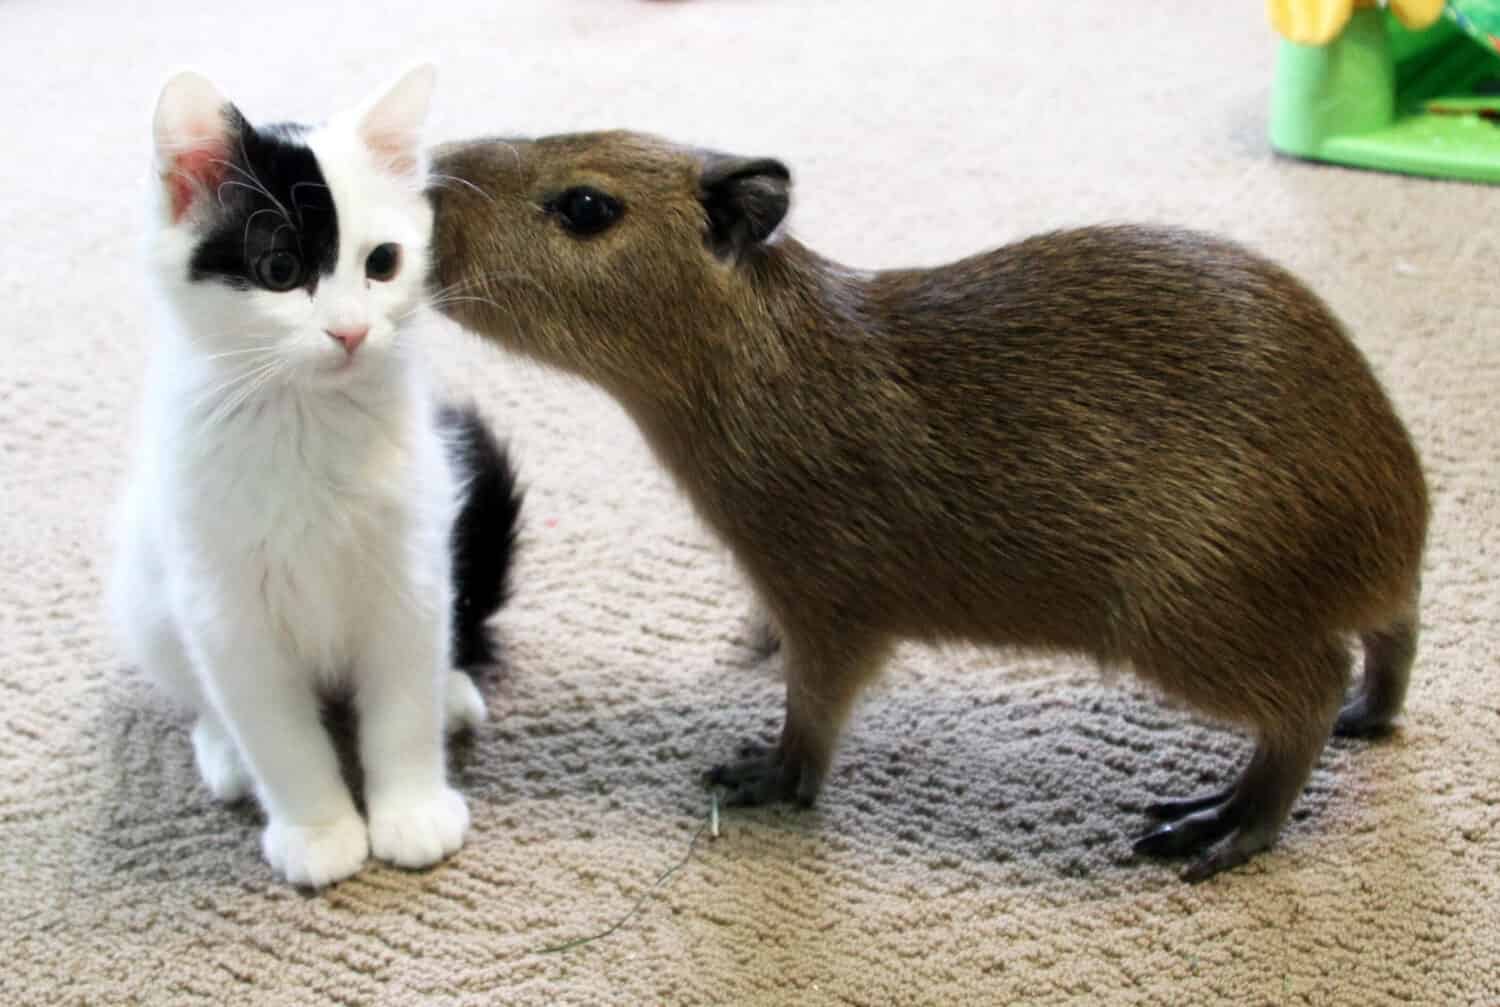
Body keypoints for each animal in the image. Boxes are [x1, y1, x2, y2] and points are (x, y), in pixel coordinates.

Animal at [109, 66, 522, 888]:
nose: (351, 330)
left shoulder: (407, 574)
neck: (306, 422)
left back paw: (452, 691)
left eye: (383, 263)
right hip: (148, 596)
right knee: (204, 693)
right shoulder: (227, 609)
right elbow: (279, 734)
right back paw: (223, 750)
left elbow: (400, 707)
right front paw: (319, 830)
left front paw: (409, 810)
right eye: (280, 271)